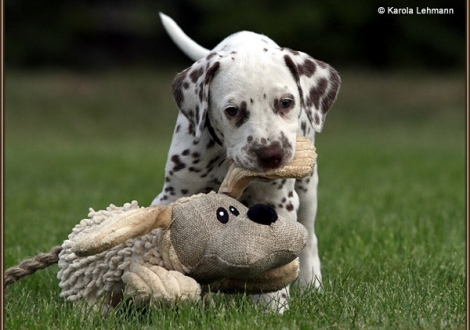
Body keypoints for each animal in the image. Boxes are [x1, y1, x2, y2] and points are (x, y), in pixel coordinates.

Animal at [152, 12, 340, 312]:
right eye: (232, 110)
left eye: (286, 102)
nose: (271, 154)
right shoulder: (174, 193)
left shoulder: (277, 200)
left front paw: (274, 308)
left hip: (308, 190)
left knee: (309, 237)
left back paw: (312, 285)